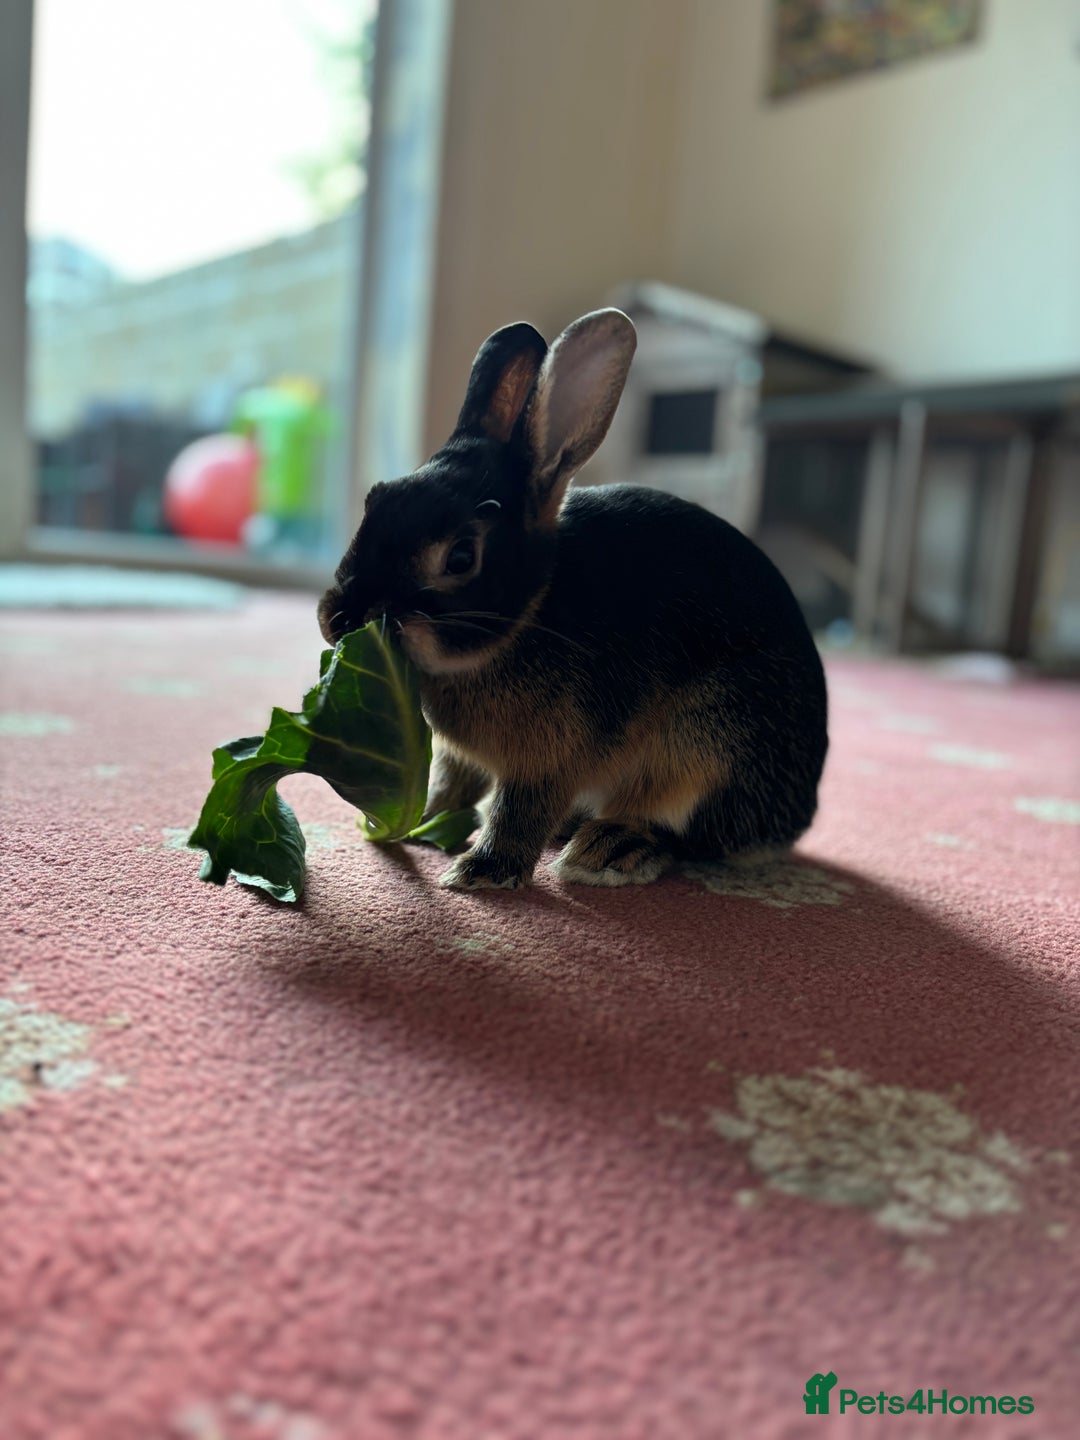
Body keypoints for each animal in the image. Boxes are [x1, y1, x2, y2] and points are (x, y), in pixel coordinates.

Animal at [317, 308, 828, 890]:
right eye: (376, 498)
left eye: (461, 557)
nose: (338, 620)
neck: (531, 614)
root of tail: (794, 818)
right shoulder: (460, 759)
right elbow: (451, 785)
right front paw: (423, 822)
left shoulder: (550, 760)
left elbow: (519, 811)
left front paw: (481, 872)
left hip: (712, 743)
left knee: (687, 833)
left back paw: (606, 849)